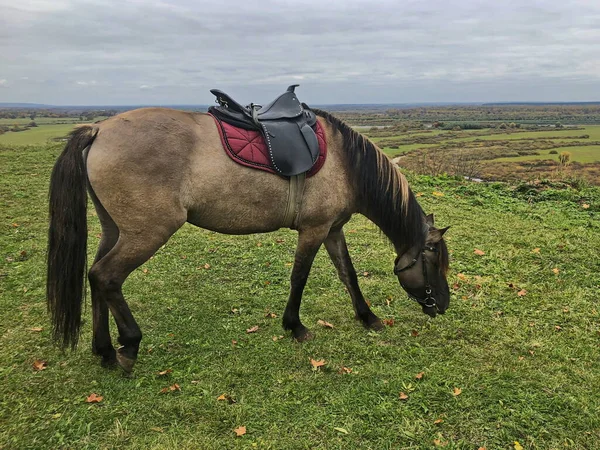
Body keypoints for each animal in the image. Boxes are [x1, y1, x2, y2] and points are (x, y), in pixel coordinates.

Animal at [47, 106, 450, 372]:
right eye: (433, 260)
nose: (442, 305)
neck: (345, 163)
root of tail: (98, 130)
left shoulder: (332, 230)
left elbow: (348, 275)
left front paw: (368, 317)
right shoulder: (314, 230)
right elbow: (299, 277)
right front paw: (295, 326)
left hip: (116, 231)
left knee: (94, 276)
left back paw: (104, 351)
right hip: (147, 233)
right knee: (106, 277)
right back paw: (129, 345)